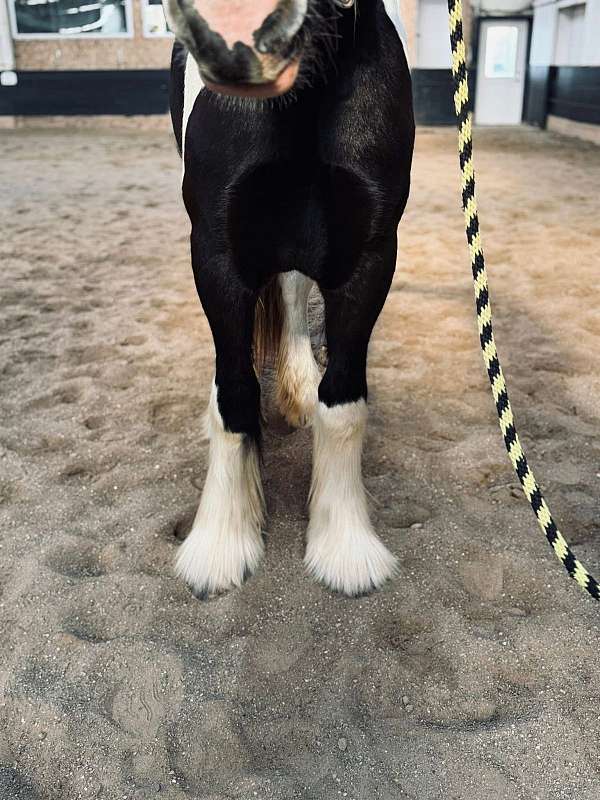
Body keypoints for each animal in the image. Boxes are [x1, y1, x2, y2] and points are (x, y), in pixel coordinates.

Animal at [162, 0, 415, 598]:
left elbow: (343, 401)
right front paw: (221, 545)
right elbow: (233, 397)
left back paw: (298, 391)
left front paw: (345, 549)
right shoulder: (216, 255)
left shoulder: (369, 256)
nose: (234, 31)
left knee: (295, 291)